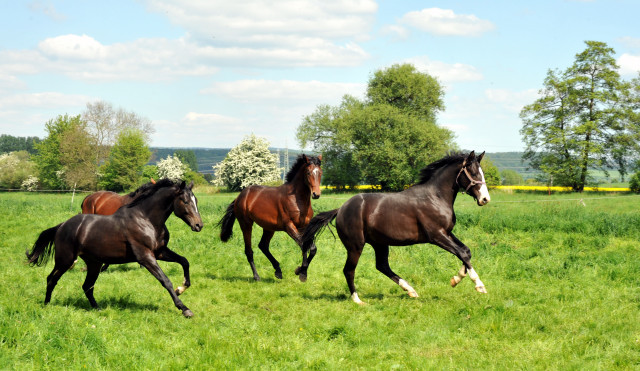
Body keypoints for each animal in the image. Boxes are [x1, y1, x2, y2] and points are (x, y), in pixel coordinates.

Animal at [26, 179, 202, 318]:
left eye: (196, 201)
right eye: (185, 201)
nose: (199, 225)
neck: (146, 220)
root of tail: (61, 226)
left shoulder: (159, 252)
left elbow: (184, 261)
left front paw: (182, 288)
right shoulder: (145, 256)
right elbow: (165, 280)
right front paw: (185, 308)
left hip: (93, 263)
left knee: (87, 286)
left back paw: (97, 309)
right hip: (65, 260)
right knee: (51, 279)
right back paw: (46, 305)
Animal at [218, 154, 322, 282]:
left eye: (320, 172)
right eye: (308, 172)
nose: (316, 194)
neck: (297, 199)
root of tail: (240, 196)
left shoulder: (303, 226)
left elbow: (310, 248)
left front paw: (301, 272)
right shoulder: (289, 226)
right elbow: (304, 245)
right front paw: (301, 272)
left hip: (269, 228)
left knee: (263, 246)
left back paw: (278, 271)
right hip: (246, 225)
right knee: (249, 251)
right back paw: (257, 276)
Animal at [300, 151, 490, 306]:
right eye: (473, 172)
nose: (485, 199)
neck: (435, 197)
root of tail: (341, 209)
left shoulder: (447, 232)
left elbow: (466, 251)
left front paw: (456, 279)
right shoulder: (436, 235)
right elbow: (462, 252)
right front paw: (479, 285)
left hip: (380, 244)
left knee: (382, 266)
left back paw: (411, 290)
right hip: (355, 246)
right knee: (349, 270)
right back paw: (357, 300)